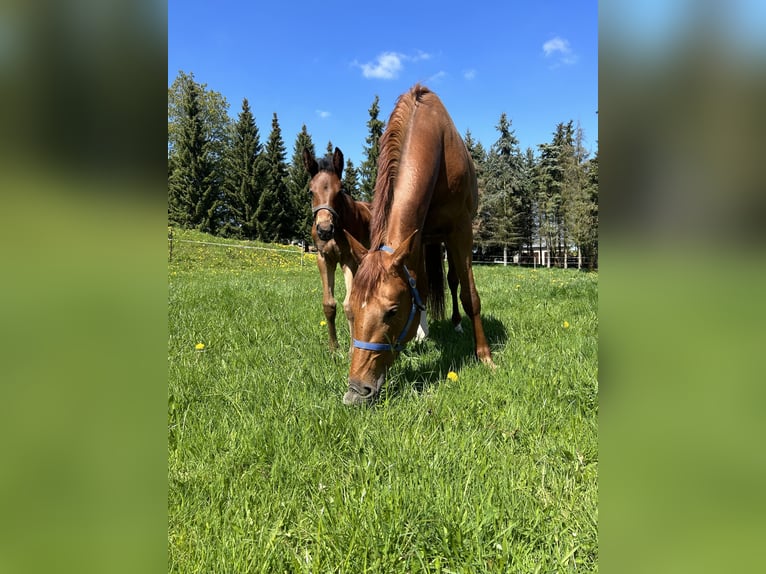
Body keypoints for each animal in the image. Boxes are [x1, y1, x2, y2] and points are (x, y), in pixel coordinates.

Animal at [303, 147, 373, 354]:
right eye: (310, 191)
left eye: (340, 190)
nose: (325, 230)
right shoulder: (325, 259)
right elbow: (329, 305)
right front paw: (333, 348)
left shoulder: (348, 260)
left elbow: (349, 306)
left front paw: (352, 349)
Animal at [343, 84, 494, 405]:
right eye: (351, 311)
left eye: (391, 312)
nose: (356, 392)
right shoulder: (418, 236)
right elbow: (420, 288)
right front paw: (419, 335)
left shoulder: (461, 229)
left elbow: (470, 295)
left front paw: (485, 356)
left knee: (453, 281)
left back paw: (456, 324)